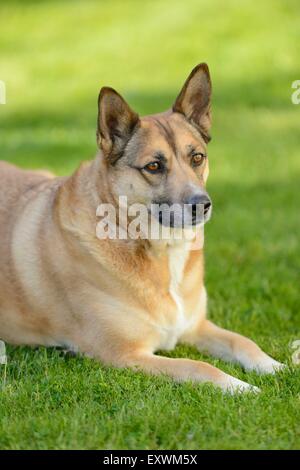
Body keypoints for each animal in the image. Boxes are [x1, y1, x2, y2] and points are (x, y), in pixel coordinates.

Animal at [0, 63, 284, 392]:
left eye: (197, 157)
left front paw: (275, 366)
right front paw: (240, 387)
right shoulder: (125, 355)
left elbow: (243, 342)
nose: (202, 204)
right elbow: (197, 366)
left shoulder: (196, 327)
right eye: (153, 166)